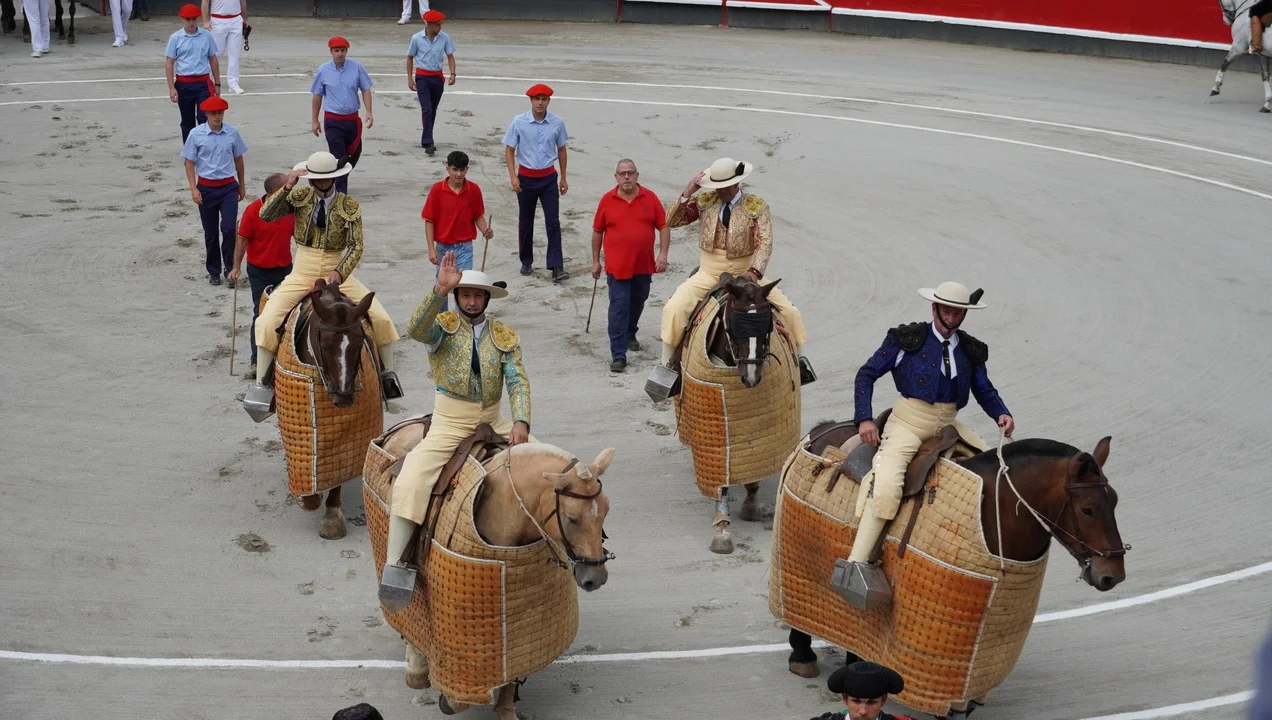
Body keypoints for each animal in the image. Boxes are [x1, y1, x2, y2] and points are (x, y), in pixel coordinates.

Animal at [272, 279, 383, 540]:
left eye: (360, 341)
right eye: (324, 343)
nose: (344, 398)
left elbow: (337, 474)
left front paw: (332, 518)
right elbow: (311, 494)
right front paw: (306, 497)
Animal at [676, 272, 800, 554]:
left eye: (767, 327)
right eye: (733, 327)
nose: (751, 377)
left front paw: (751, 505)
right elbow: (719, 480)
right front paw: (722, 531)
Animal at [786, 419, 1128, 713]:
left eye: (1114, 501)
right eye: (1087, 509)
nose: (1112, 575)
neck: (994, 509)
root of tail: (824, 430)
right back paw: (803, 657)